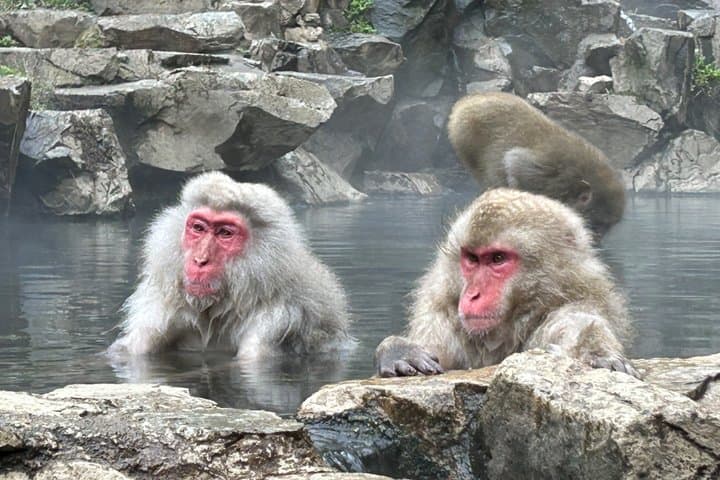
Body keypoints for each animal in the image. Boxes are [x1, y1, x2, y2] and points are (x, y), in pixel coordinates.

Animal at [375, 188, 638, 378]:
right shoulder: (441, 317)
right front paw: (398, 350)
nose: (472, 295)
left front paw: (595, 353)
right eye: (472, 259)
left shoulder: (577, 303)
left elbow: (582, 325)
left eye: (498, 258)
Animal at [447, 92, 625, 238]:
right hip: (464, 137)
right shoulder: (544, 175)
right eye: (599, 224)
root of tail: (466, 101)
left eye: (607, 226)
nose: (599, 238)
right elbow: (514, 162)